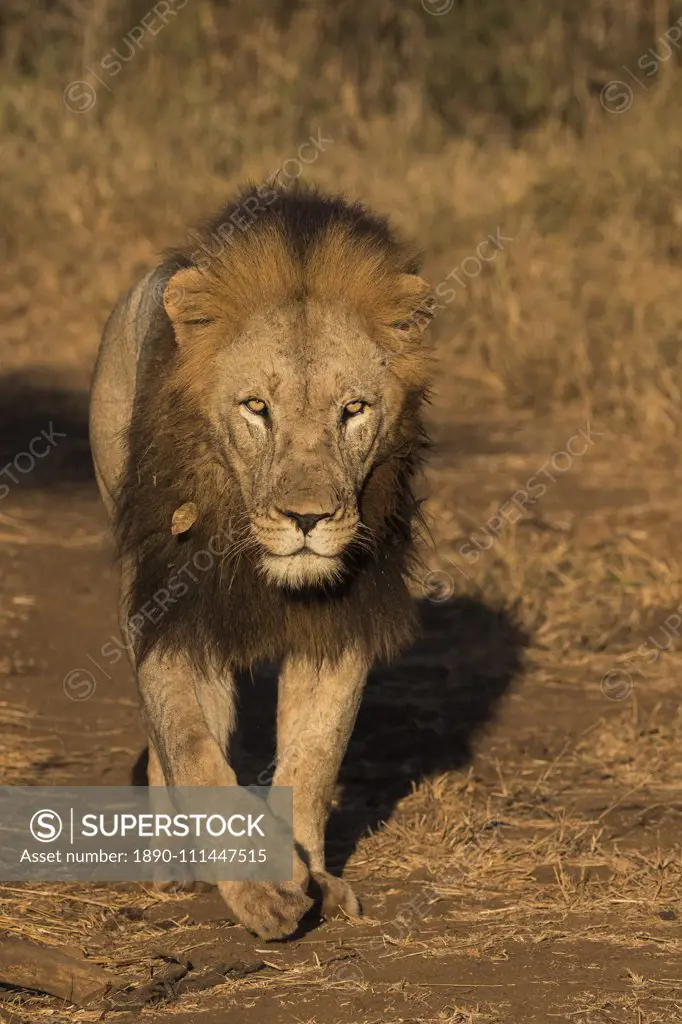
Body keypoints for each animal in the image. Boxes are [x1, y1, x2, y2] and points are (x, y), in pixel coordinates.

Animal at [89, 182, 430, 937]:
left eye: (353, 410)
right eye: (256, 408)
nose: (308, 520)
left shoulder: (340, 624)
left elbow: (313, 756)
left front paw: (317, 877)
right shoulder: (169, 611)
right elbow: (190, 745)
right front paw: (261, 886)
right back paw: (172, 867)